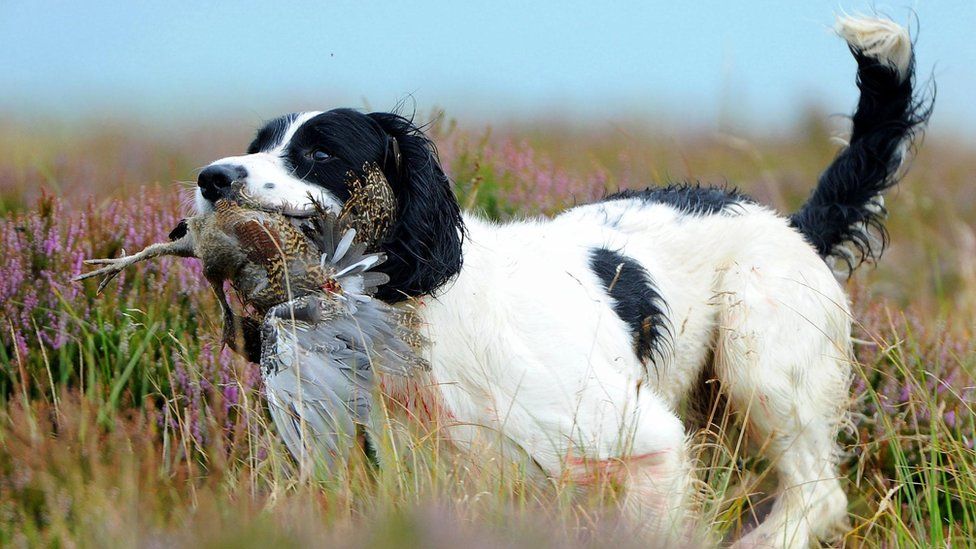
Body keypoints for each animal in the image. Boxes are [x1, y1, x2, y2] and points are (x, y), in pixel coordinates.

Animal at [193, 15, 932, 544]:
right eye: (259, 145)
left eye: (320, 152)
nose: (211, 178)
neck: (418, 321)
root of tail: (790, 225)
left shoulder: (647, 445)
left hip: (761, 361)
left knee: (818, 494)